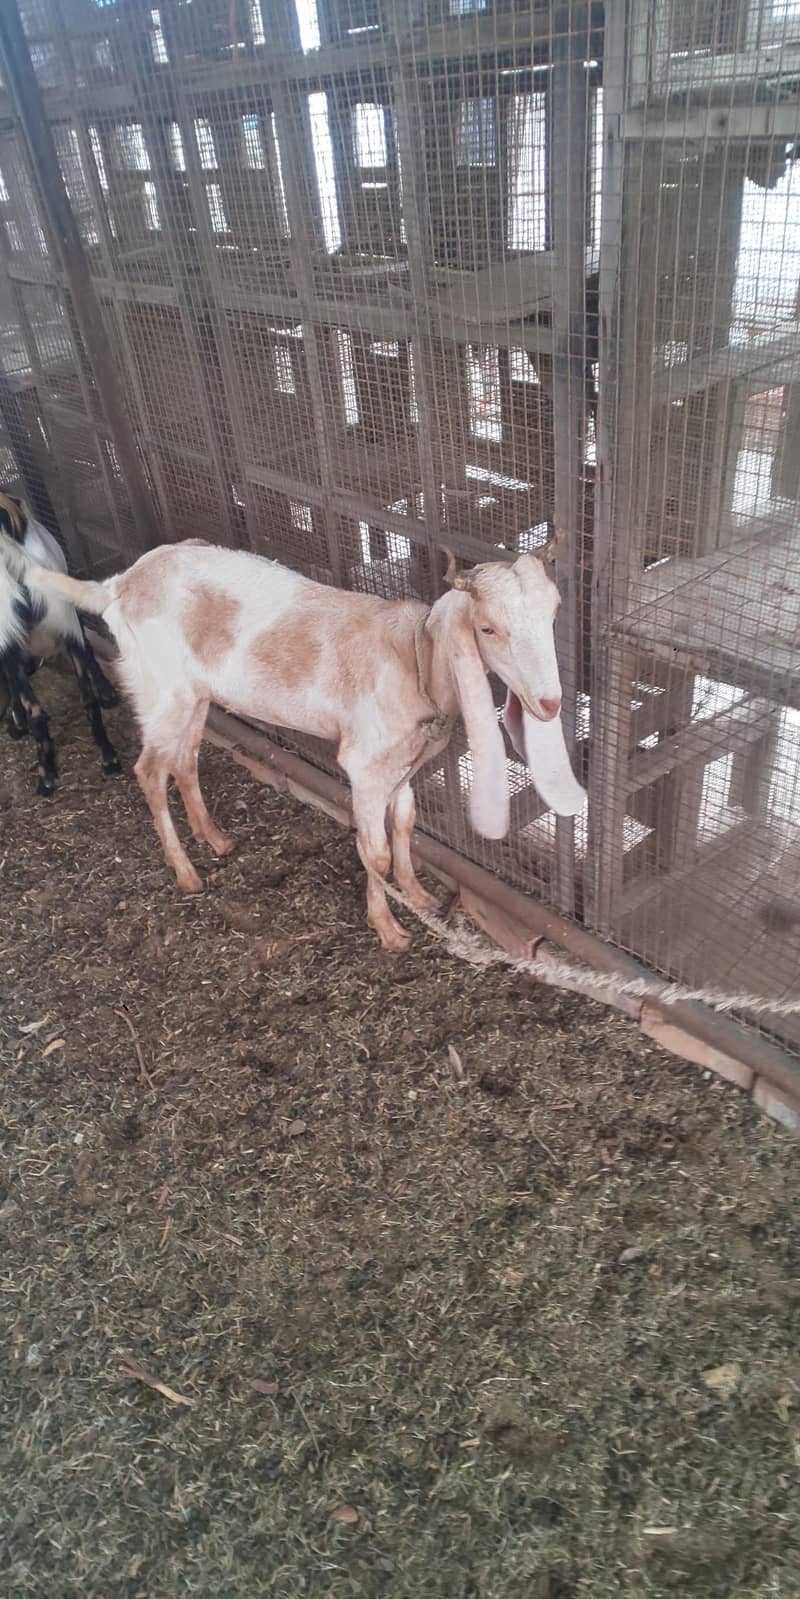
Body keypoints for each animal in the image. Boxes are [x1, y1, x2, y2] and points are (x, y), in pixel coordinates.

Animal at [35, 540, 585, 949]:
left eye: (555, 613)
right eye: (487, 628)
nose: (550, 703)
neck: (414, 658)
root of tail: (118, 585)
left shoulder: (404, 761)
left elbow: (406, 824)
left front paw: (417, 895)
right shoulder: (364, 764)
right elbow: (374, 852)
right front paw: (389, 928)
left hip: (195, 694)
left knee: (185, 759)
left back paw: (216, 839)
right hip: (161, 688)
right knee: (150, 770)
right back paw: (187, 872)